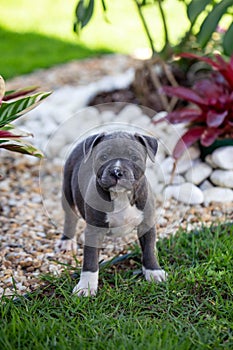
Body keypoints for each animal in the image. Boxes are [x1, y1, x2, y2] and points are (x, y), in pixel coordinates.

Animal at [57, 131, 167, 296]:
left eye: (134, 157)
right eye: (103, 157)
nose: (117, 171)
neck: (121, 195)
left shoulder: (146, 224)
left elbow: (149, 249)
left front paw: (153, 271)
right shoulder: (94, 230)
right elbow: (90, 259)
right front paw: (86, 286)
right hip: (67, 190)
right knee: (70, 217)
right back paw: (66, 240)